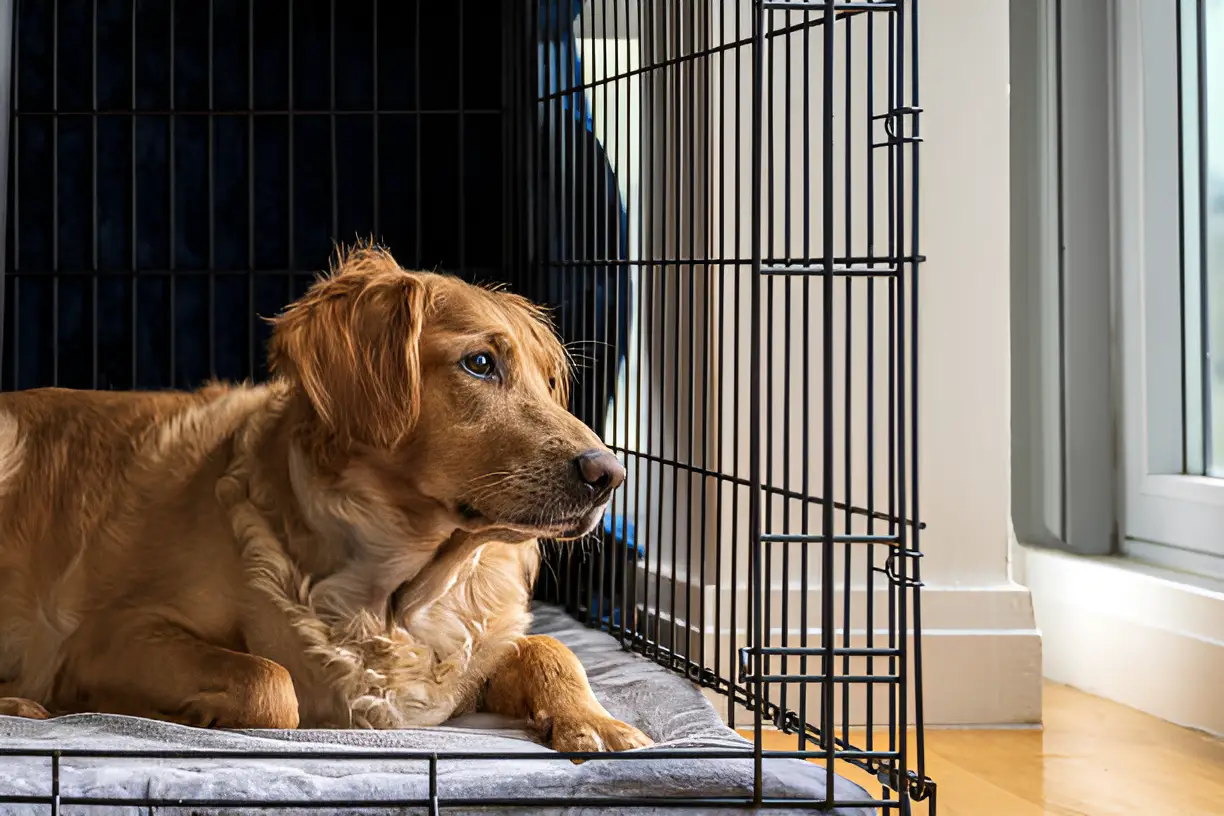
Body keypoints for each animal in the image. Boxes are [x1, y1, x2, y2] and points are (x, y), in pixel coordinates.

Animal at [0, 245, 651, 758]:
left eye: (549, 381)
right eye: (480, 363)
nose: (610, 474)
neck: (394, 599)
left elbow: (549, 648)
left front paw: (594, 721)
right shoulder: (109, 635)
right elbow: (270, 682)